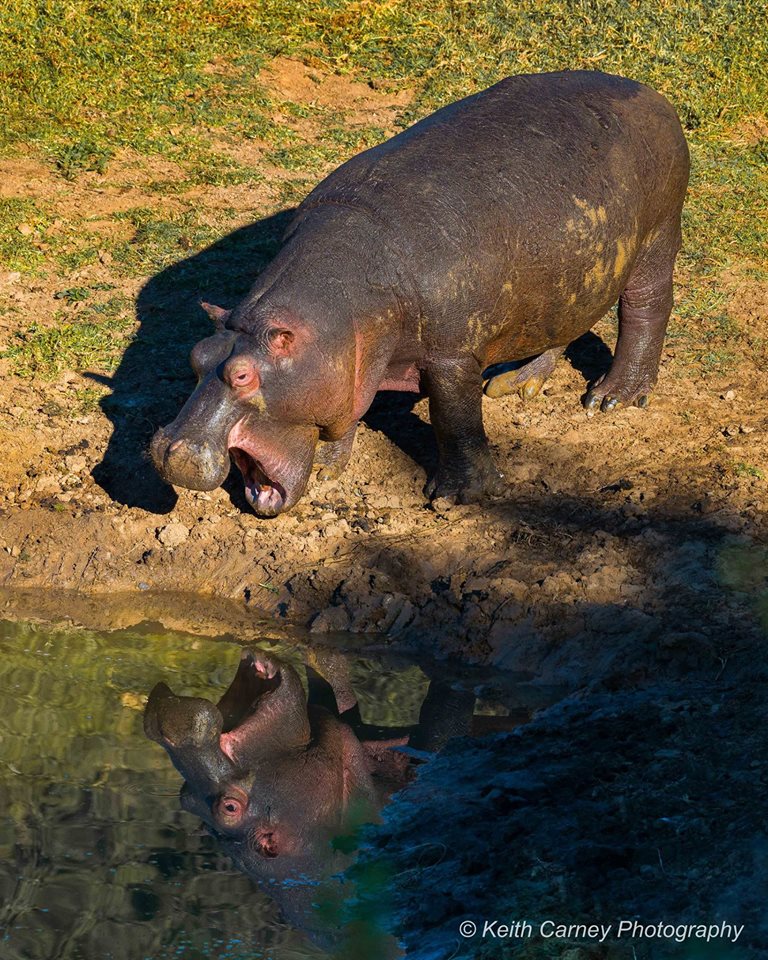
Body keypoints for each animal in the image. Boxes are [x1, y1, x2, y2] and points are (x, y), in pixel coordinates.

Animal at [152, 70, 688, 512]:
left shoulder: (451, 356)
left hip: (658, 235)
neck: (337, 313)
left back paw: (612, 398)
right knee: (563, 322)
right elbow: (349, 404)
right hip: (565, 272)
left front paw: (457, 497)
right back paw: (514, 385)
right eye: (196, 357)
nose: (171, 451)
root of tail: (652, 94)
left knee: (646, 308)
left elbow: (456, 420)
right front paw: (327, 466)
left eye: (243, 376)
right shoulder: (351, 360)